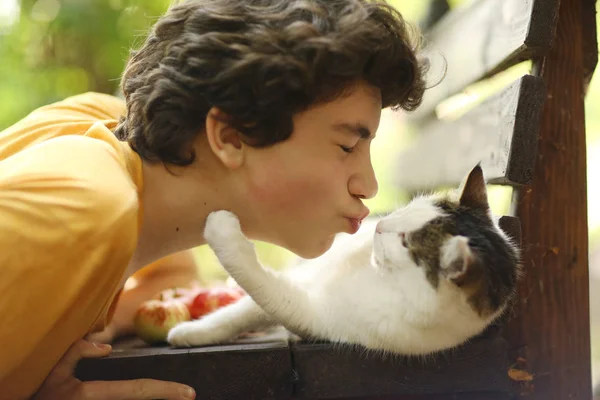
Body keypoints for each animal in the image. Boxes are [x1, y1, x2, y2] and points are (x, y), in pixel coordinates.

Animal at [168, 164, 520, 354]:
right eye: (412, 206)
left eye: (406, 242)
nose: (379, 225)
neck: (373, 276)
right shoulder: (306, 277)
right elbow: (239, 312)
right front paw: (192, 332)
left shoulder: (308, 313)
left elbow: (255, 280)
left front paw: (221, 228)